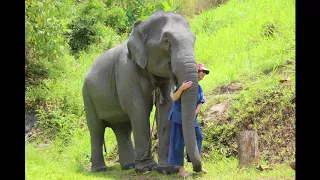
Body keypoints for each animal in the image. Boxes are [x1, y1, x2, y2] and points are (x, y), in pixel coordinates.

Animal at [82, 9, 202, 173]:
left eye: (194, 40)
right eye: (166, 41)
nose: (197, 169)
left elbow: (166, 107)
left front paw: (167, 169)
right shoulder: (127, 73)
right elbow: (139, 110)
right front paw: (146, 168)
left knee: (122, 128)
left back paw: (129, 166)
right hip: (87, 96)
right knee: (96, 129)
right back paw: (101, 170)